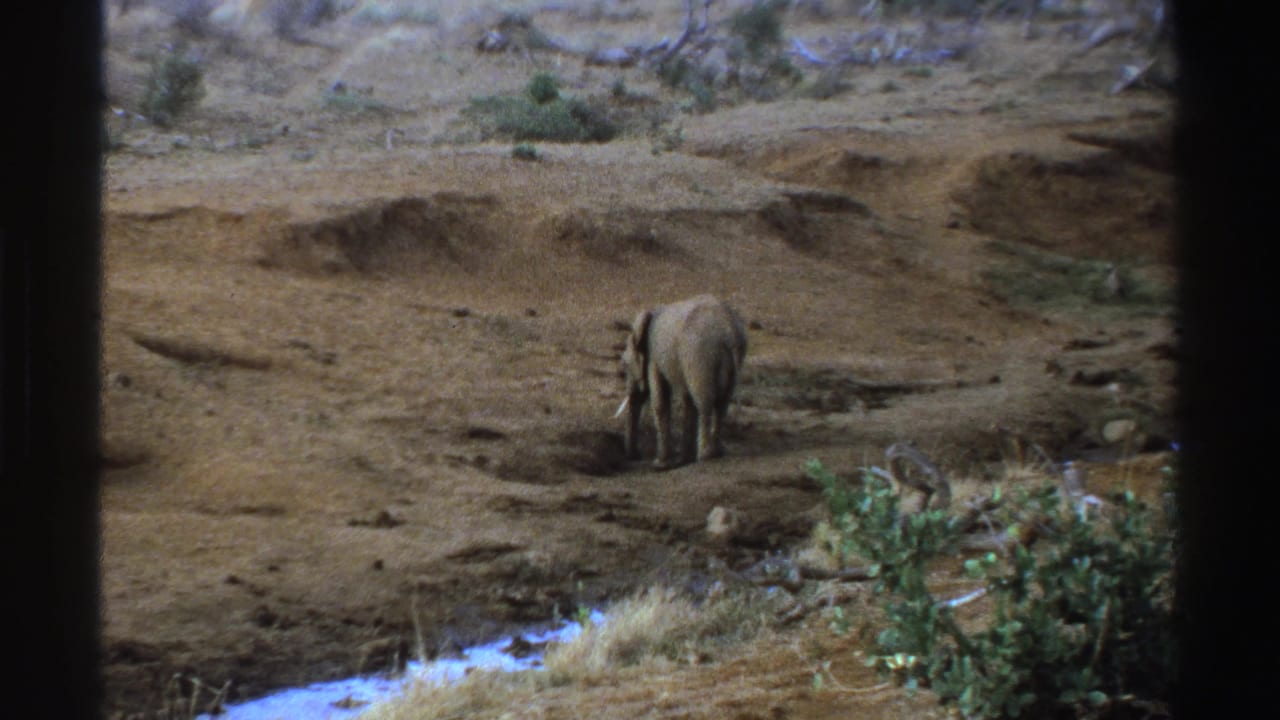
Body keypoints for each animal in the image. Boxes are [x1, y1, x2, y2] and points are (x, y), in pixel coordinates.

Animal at [615, 294, 748, 469]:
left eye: (624, 365)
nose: (636, 456)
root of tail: (729, 331)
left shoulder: (654, 357)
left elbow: (661, 399)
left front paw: (660, 464)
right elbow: (686, 401)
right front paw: (683, 460)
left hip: (699, 354)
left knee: (704, 401)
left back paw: (706, 455)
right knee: (722, 403)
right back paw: (717, 452)